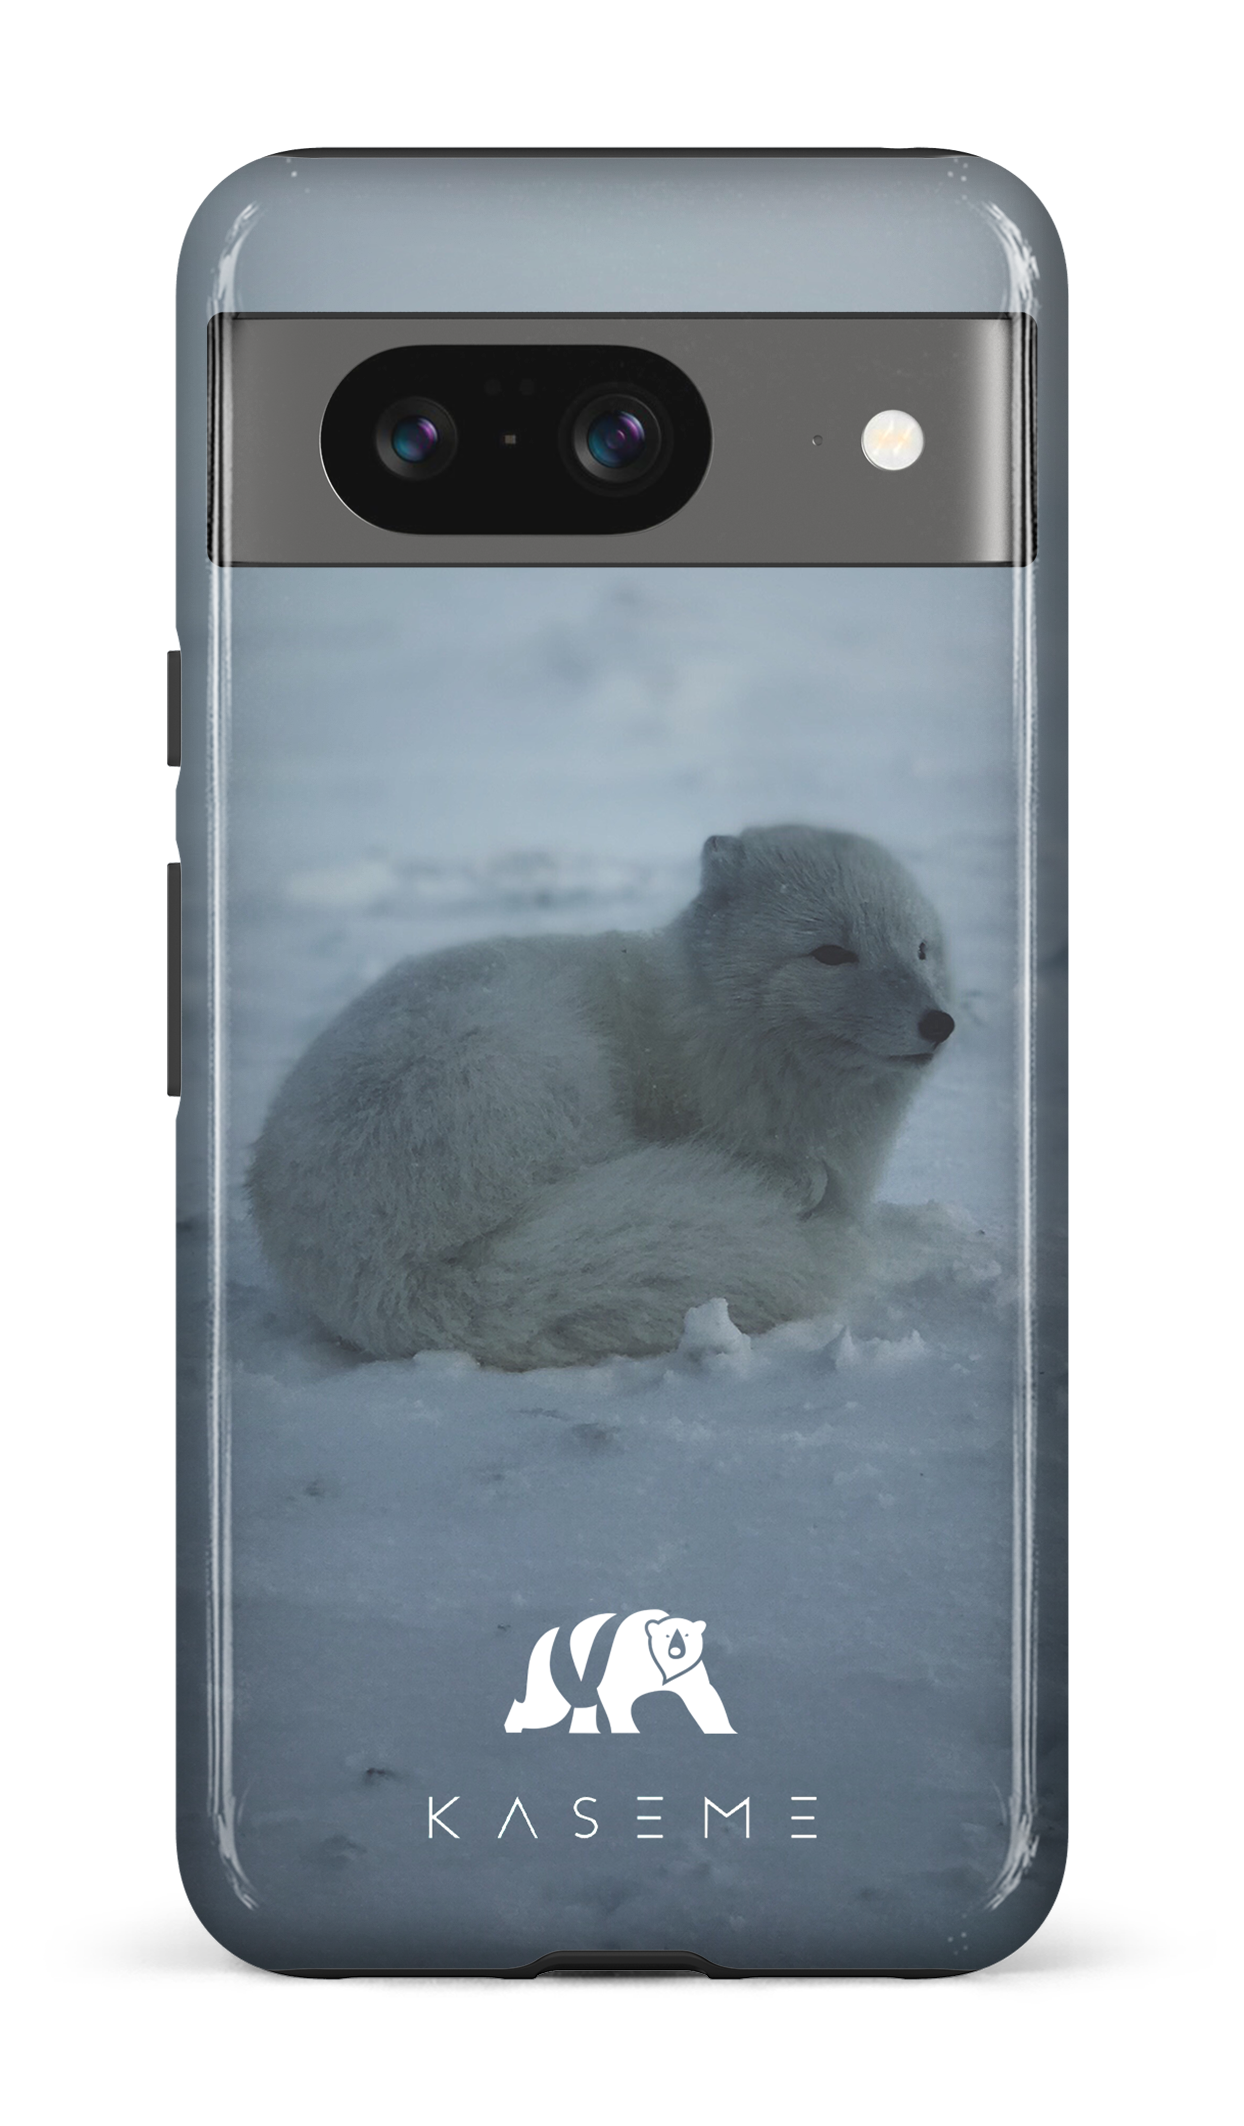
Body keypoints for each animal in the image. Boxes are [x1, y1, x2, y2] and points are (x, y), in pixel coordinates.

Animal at [248, 825, 955, 1369]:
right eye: (831, 953)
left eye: (920, 948)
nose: (939, 1022)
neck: (705, 1024)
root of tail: (389, 1277)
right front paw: (796, 1182)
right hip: (534, 1067)